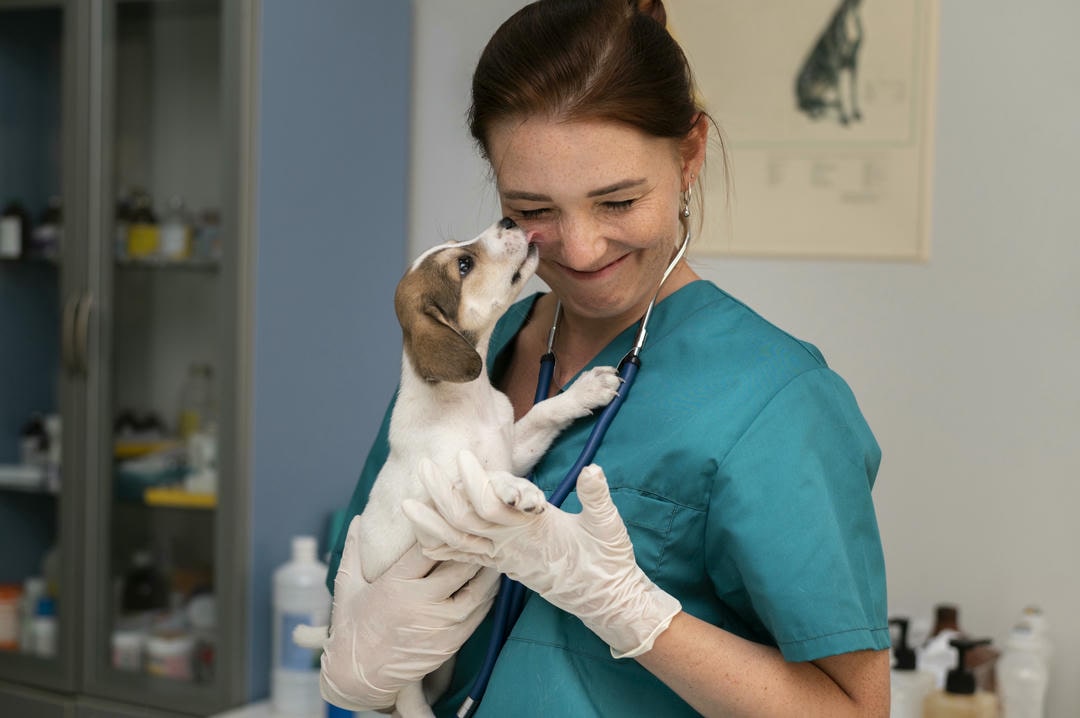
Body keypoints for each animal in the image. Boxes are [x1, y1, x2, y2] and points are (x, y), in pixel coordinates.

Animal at [298, 218, 617, 716]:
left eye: (458, 249)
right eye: (464, 264)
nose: (509, 221)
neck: (467, 402)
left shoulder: (513, 445)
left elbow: (542, 415)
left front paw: (586, 391)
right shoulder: (432, 497)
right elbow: (479, 480)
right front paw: (515, 491)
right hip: (403, 677)